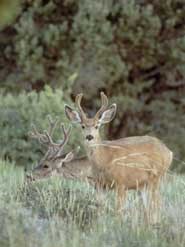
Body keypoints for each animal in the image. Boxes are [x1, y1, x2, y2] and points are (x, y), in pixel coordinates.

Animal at [64, 92, 173, 222]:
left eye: (97, 126)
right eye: (83, 126)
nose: (89, 137)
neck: (104, 159)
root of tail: (169, 152)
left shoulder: (121, 183)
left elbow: (118, 212)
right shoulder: (99, 185)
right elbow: (99, 210)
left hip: (156, 177)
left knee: (157, 203)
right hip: (143, 185)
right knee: (147, 208)